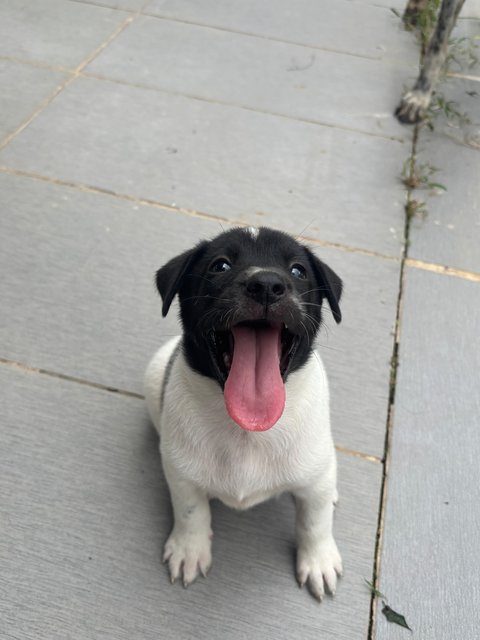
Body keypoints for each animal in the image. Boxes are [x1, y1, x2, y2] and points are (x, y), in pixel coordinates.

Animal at [144, 225, 344, 600]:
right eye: (219, 265)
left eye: (298, 270)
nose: (266, 283)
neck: (247, 430)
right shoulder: (182, 475)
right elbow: (191, 511)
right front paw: (190, 549)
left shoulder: (313, 479)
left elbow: (315, 520)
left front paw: (318, 559)